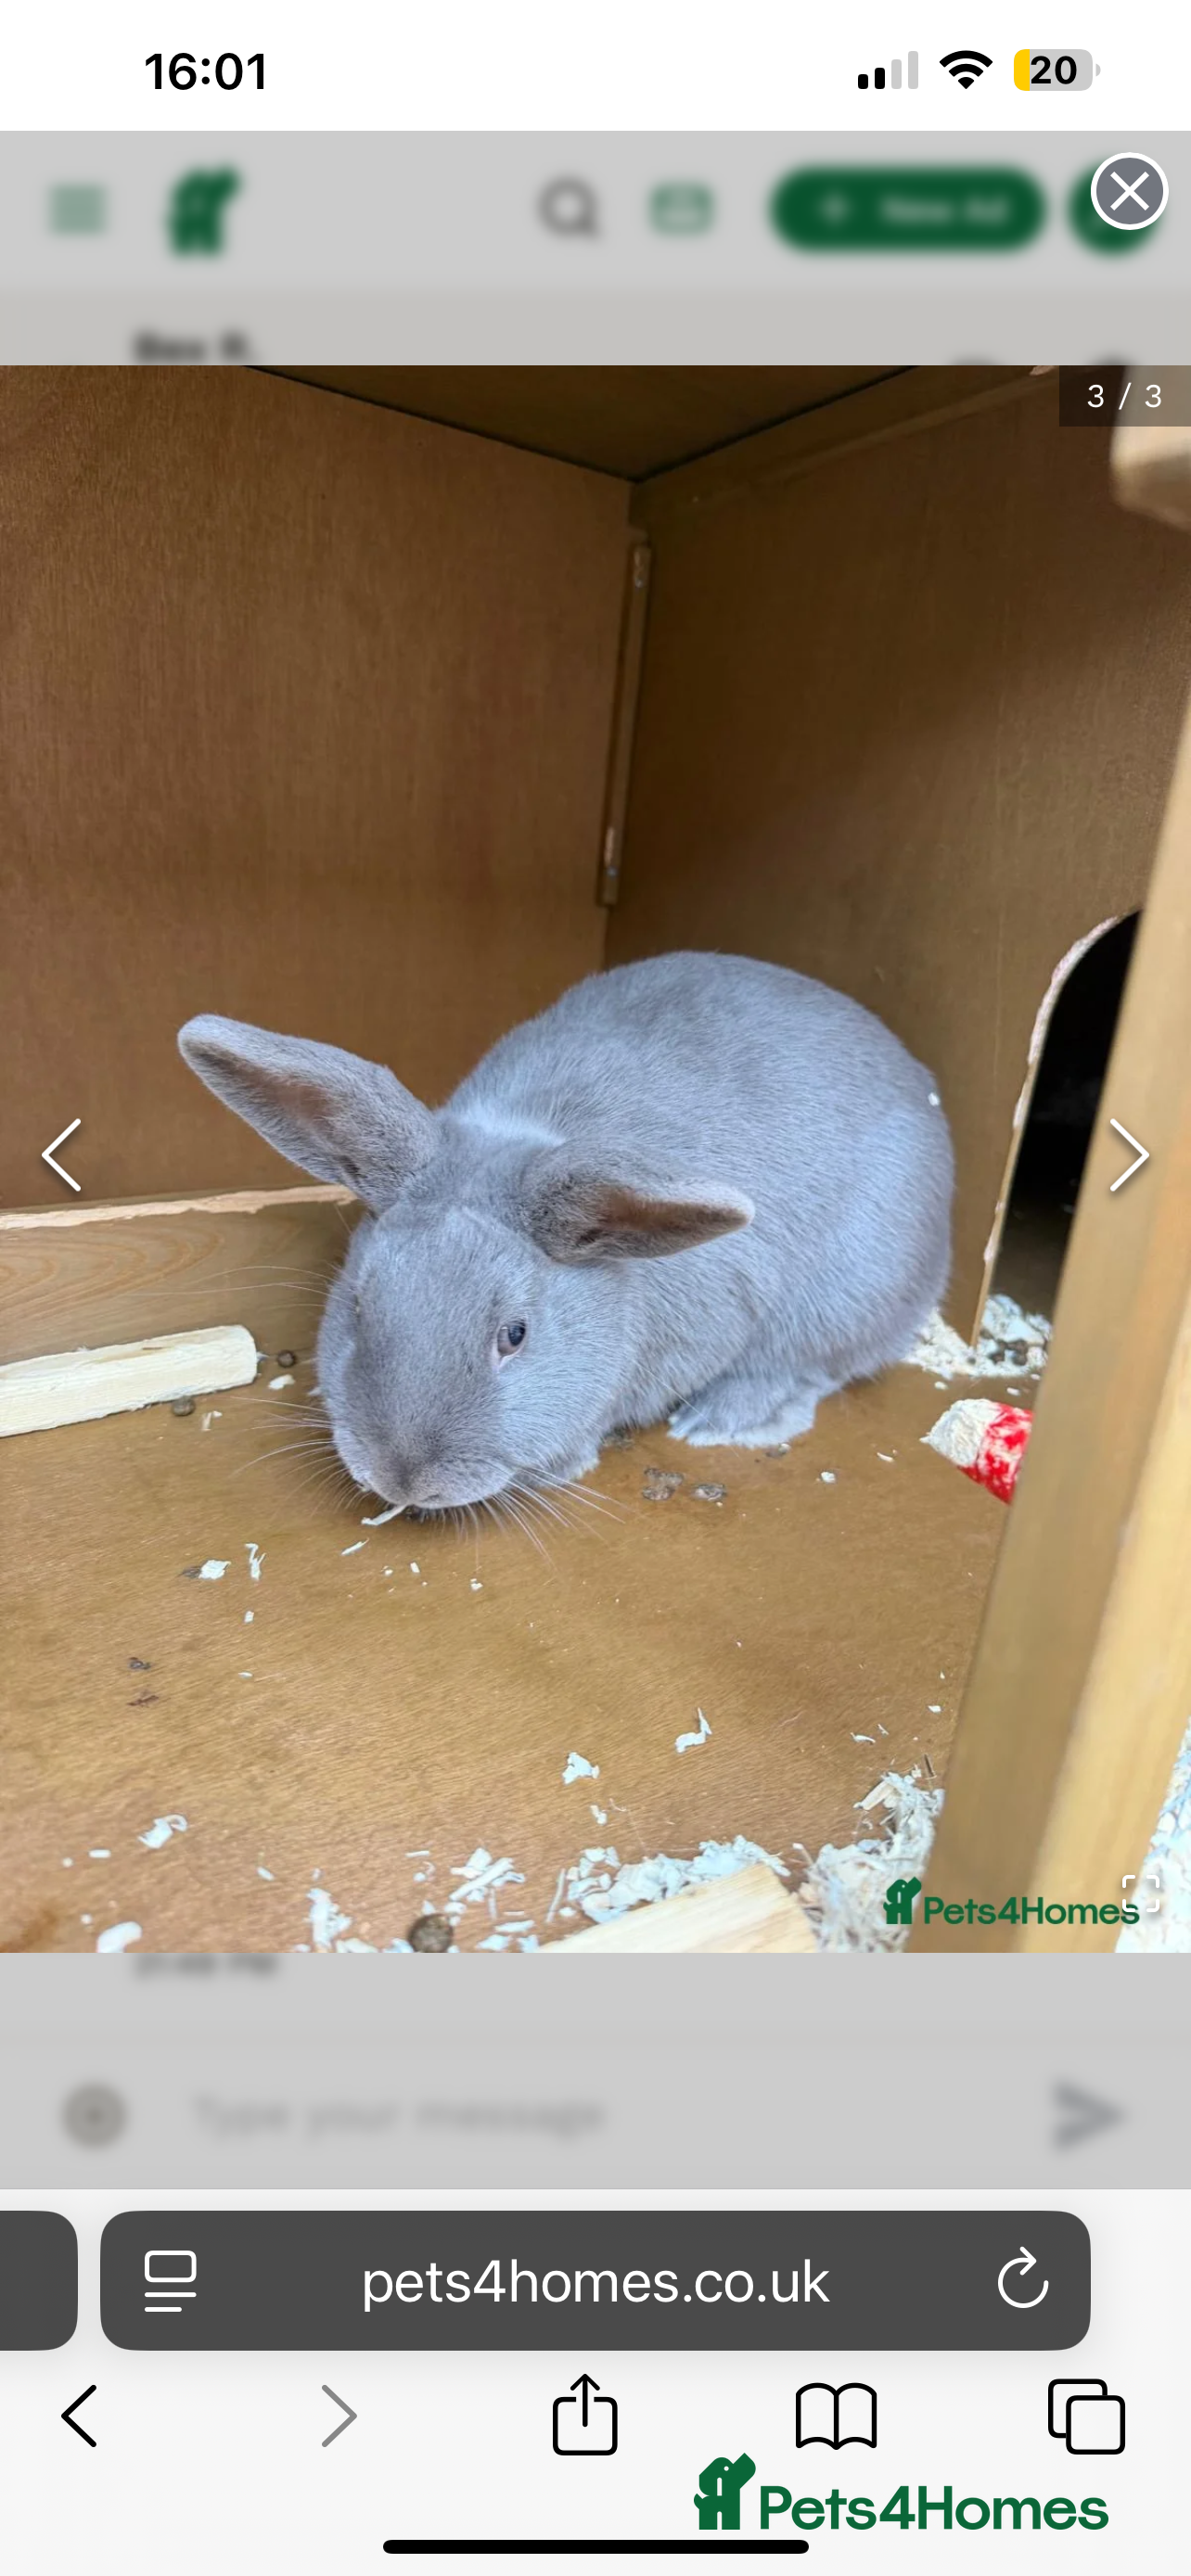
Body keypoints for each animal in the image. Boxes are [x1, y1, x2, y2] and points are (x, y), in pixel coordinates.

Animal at [179, 952, 953, 1514]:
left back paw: (718, 1419)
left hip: (842, 1302)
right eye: (360, 1307)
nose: (402, 1480)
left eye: (515, 1336)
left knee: (810, 1370)